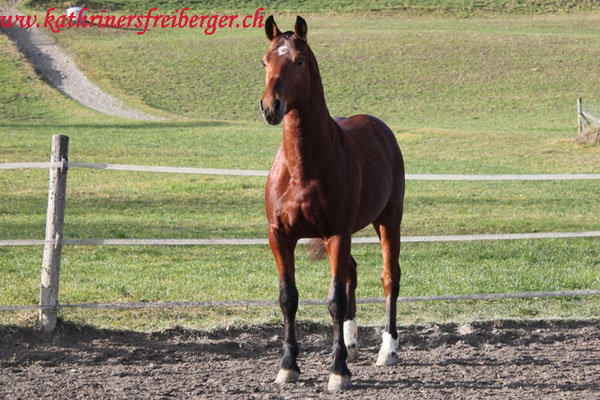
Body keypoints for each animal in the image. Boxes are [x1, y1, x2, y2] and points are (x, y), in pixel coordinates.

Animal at [260, 16, 406, 390]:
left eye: (298, 60)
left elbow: (335, 300)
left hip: (388, 220)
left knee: (390, 277)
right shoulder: (280, 236)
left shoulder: (338, 233)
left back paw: (387, 350)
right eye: (265, 61)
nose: (271, 106)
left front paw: (338, 371)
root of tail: (379, 128)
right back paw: (351, 345)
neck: (302, 167)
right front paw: (289, 366)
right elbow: (289, 298)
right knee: (352, 272)